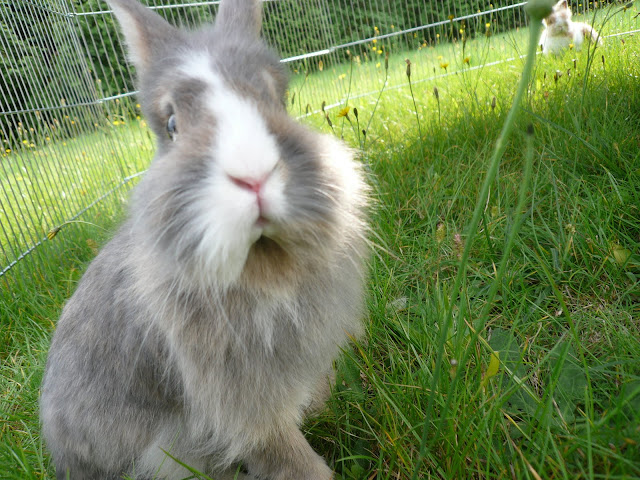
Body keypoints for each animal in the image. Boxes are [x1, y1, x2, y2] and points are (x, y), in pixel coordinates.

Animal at [39, 0, 370, 479]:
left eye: (276, 98)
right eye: (172, 124)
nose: (254, 175)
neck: (263, 262)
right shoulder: (241, 402)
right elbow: (284, 454)